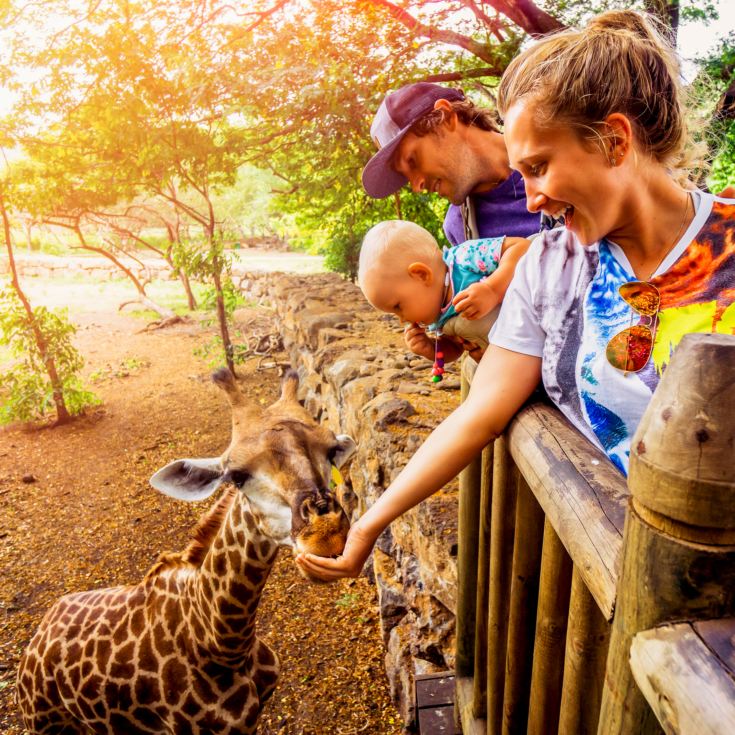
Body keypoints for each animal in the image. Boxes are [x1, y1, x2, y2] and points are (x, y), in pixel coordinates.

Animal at [15, 370, 360, 732]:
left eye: (332, 451)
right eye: (237, 476)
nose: (327, 536)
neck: (223, 644)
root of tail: (33, 645)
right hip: (46, 724)